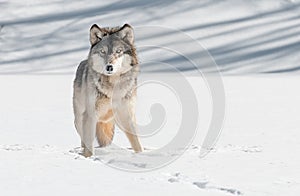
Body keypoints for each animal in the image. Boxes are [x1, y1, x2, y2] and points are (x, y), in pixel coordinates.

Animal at [72, 23, 143, 158]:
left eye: (118, 51)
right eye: (103, 52)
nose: (109, 67)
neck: (112, 87)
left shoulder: (128, 115)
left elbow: (137, 143)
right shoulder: (90, 115)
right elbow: (89, 147)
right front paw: (88, 159)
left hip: (117, 121)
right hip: (79, 119)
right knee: (84, 141)